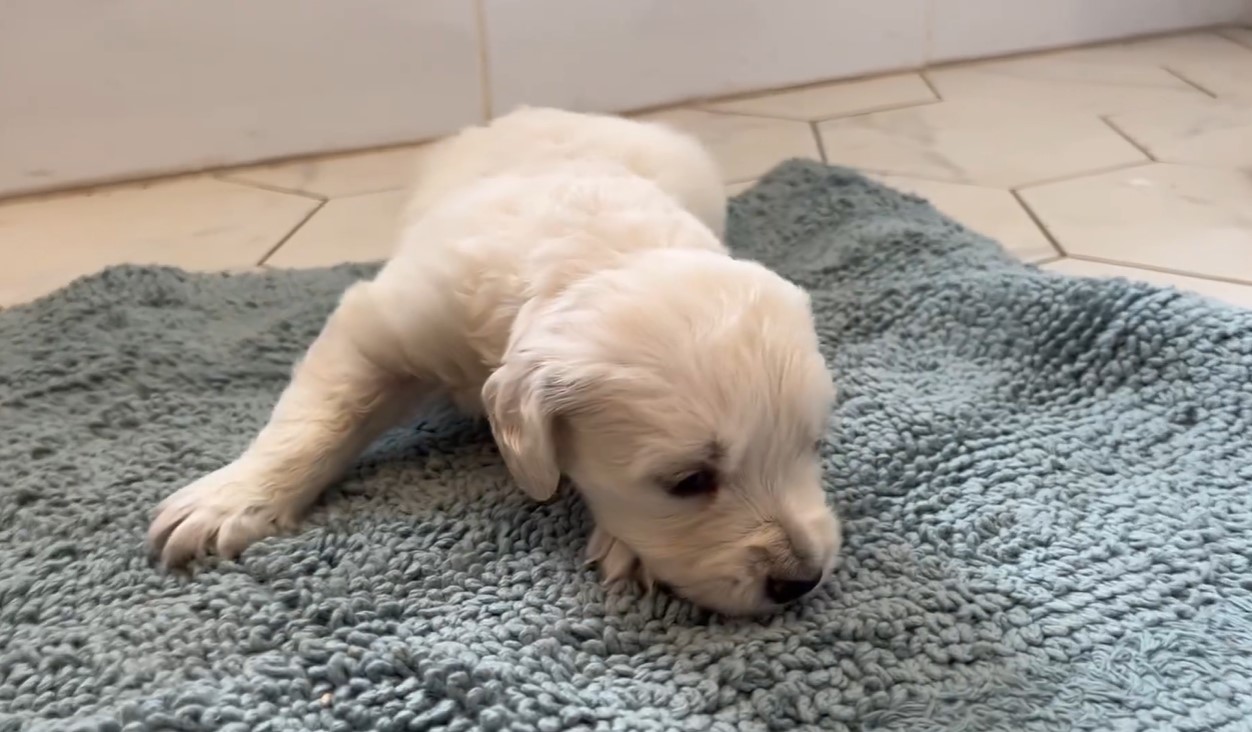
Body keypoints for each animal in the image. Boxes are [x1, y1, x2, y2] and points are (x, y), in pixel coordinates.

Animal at [153, 105, 841, 613]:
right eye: (688, 481)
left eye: (811, 446)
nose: (801, 580)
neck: (595, 253)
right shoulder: (390, 319)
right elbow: (319, 414)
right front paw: (228, 501)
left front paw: (628, 546)